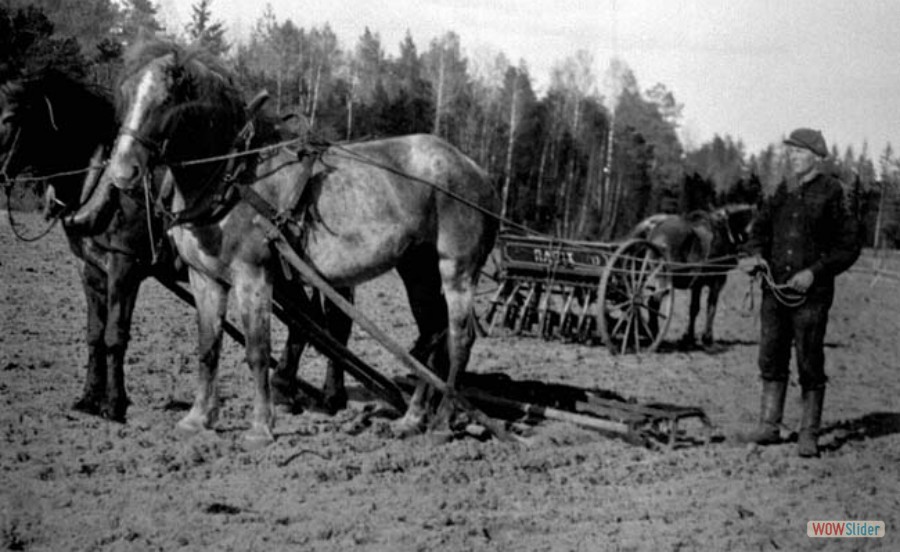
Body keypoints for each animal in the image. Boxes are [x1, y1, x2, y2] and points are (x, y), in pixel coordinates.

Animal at [102, 38, 502, 446]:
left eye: (166, 99)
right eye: (126, 93)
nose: (122, 172)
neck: (233, 176)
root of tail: (478, 172)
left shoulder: (253, 275)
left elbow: (257, 350)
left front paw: (261, 427)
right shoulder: (205, 278)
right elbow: (208, 348)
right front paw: (198, 419)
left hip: (457, 268)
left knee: (459, 339)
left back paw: (441, 423)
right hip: (417, 269)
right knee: (432, 334)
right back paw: (412, 418)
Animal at [628, 205, 756, 348]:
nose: (748, 239)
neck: (722, 230)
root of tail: (655, 226)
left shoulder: (697, 285)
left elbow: (694, 309)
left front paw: (688, 337)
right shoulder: (717, 281)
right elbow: (711, 307)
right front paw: (707, 338)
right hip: (663, 278)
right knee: (653, 302)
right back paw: (654, 334)